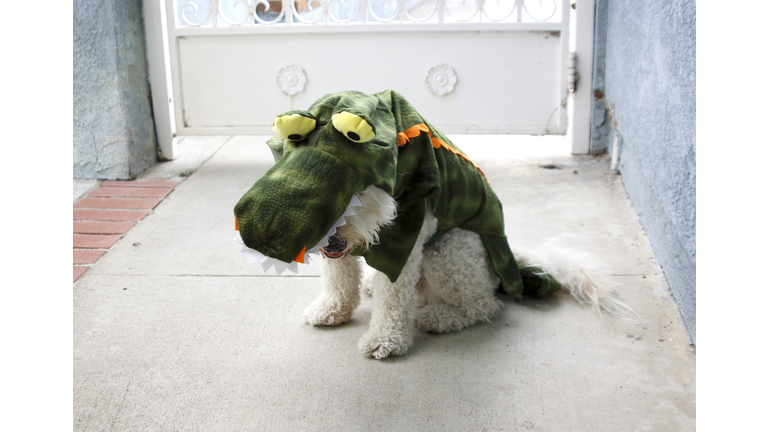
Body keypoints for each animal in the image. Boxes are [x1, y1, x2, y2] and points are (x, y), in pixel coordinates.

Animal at [304, 185, 632, 358]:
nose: (333, 240)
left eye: (360, 192)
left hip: (448, 252)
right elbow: (339, 279)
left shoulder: (407, 244)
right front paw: (332, 310)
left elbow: (393, 298)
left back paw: (438, 318)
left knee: (484, 305)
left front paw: (385, 340)